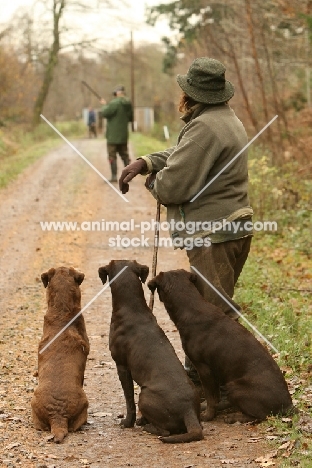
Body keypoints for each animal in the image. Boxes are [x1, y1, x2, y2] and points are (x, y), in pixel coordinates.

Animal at [98, 262, 204, 444]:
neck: (132, 308)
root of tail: (188, 410)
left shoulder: (122, 366)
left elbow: (129, 400)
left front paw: (127, 422)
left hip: (144, 395)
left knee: (165, 432)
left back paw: (147, 426)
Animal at [148, 266, 294, 424]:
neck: (191, 308)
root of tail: (288, 406)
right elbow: (215, 397)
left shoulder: (204, 368)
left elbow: (211, 398)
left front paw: (207, 416)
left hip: (234, 387)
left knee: (259, 416)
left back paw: (233, 416)